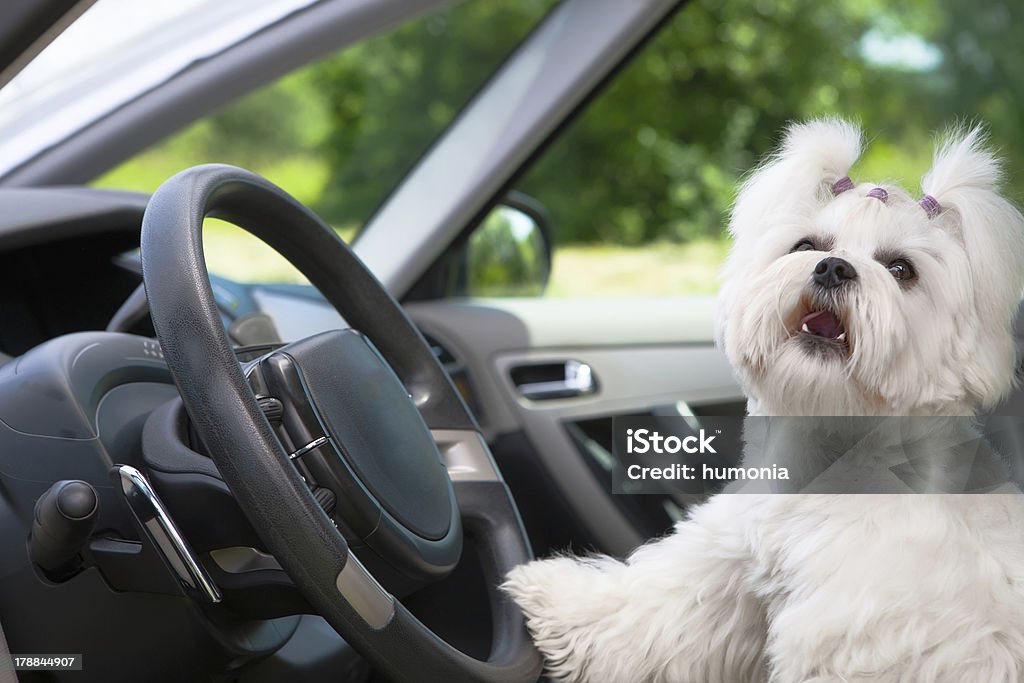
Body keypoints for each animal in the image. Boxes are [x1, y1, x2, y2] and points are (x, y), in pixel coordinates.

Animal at [499, 118, 1024, 683]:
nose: (833, 268)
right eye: (807, 244)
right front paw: (556, 596)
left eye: (902, 269)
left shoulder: (862, 636)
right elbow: (654, 602)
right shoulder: (731, 556)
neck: (839, 446)